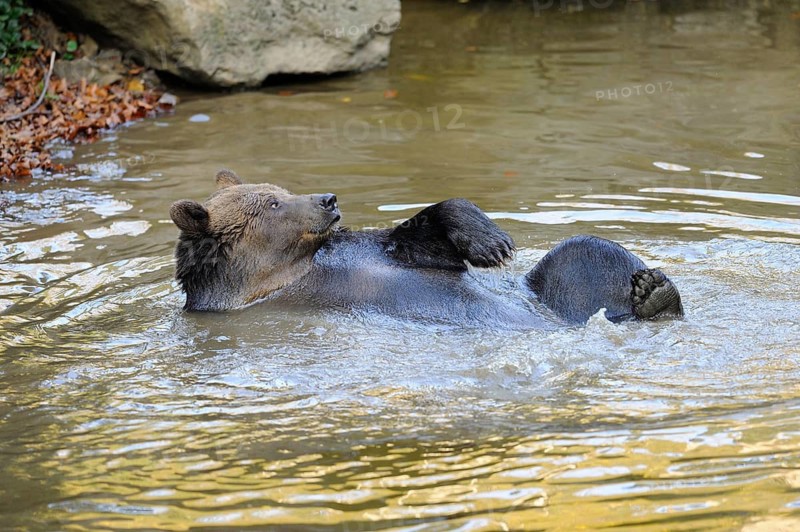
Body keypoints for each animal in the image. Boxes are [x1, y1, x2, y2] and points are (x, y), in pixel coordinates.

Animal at [169, 170, 684, 327]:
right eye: (273, 203)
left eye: (281, 189)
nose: (328, 199)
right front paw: (495, 245)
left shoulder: (378, 249)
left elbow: (426, 233)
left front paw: (492, 243)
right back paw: (653, 297)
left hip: (560, 294)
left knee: (583, 256)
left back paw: (653, 292)